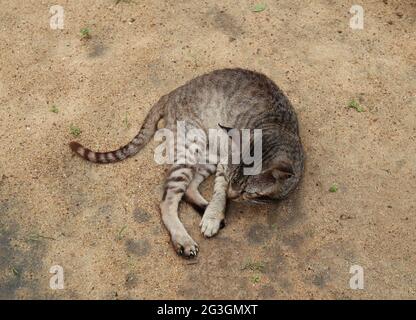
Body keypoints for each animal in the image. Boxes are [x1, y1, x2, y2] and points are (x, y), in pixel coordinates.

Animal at [70, 67, 304, 258]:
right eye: (233, 182)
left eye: (248, 192)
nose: (232, 195)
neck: (275, 128)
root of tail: (173, 92)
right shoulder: (224, 165)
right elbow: (219, 191)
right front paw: (215, 212)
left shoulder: (224, 163)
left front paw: (214, 212)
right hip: (192, 146)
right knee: (167, 201)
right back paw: (184, 239)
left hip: (208, 154)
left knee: (190, 188)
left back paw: (205, 208)